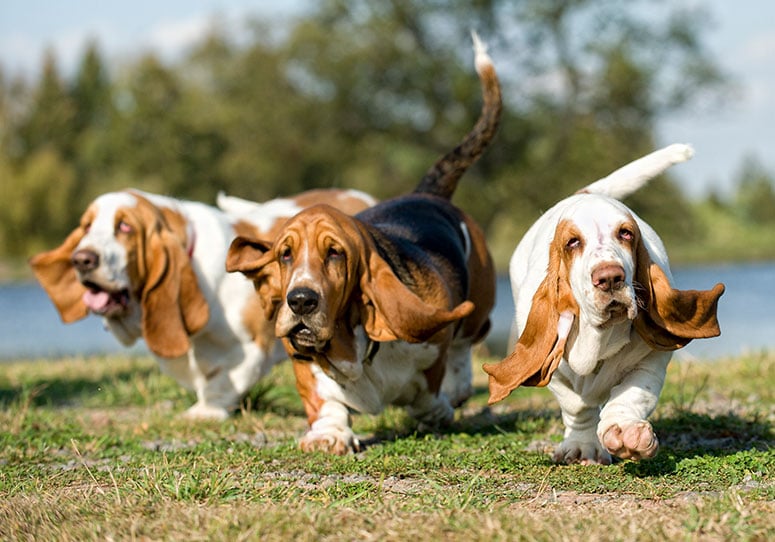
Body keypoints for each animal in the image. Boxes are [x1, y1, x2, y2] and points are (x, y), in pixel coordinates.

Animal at [31, 188, 378, 420]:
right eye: (87, 226)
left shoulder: (253, 346)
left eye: (125, 227)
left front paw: (203, 412)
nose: (82, 259)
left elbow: (223, 382)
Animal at [227, 34, 500, 454]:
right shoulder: (304, 358)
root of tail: (426, 193)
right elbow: (323, 399)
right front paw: (329, 434)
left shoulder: (432, 341)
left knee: (469, 339)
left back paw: (456, 389)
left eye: (335, 253)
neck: (353, 347)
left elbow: (426, 390)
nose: (300, 301)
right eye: (285, 254)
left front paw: (438, 409)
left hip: (479, 302)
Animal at [484, 146, 728, 468]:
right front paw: (582, 445)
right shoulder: (553, 368)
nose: (610, 277)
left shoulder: (651, 360)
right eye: (572, 242)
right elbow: (576, 405)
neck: (598, 337)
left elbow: (633, 393)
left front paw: (626, 433)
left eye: (625, 234)